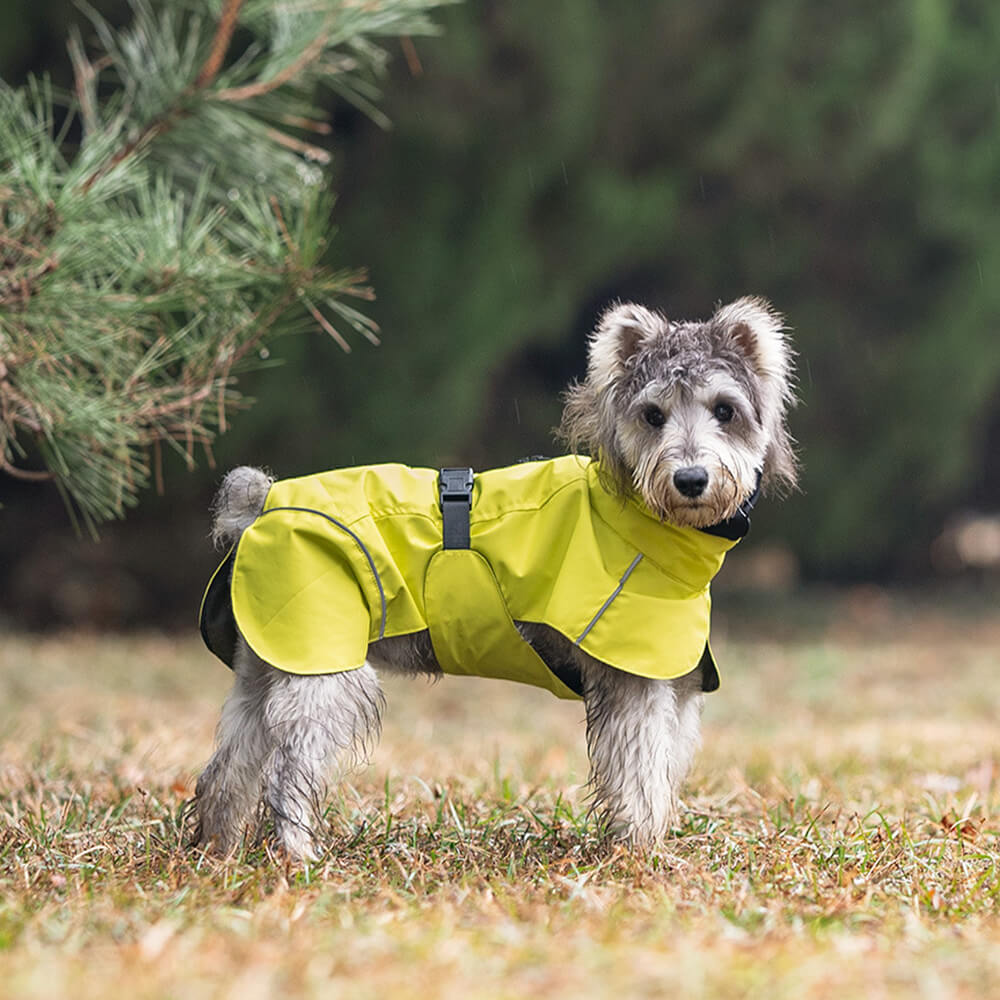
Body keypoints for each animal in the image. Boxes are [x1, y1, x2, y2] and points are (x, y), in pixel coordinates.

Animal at [191, 296, 792, 860]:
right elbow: (639, 773)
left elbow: (665, 766)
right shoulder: (633, 682)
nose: (690, 479)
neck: (641, 518)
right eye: (652, 415)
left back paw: (218, 851)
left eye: (725, 410)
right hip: (325, 671)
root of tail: (261, 503)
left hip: (266, 672)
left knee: (227, 770)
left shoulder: (676, 684)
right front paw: (640, 850)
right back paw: (298, 855)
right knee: (285, 772)